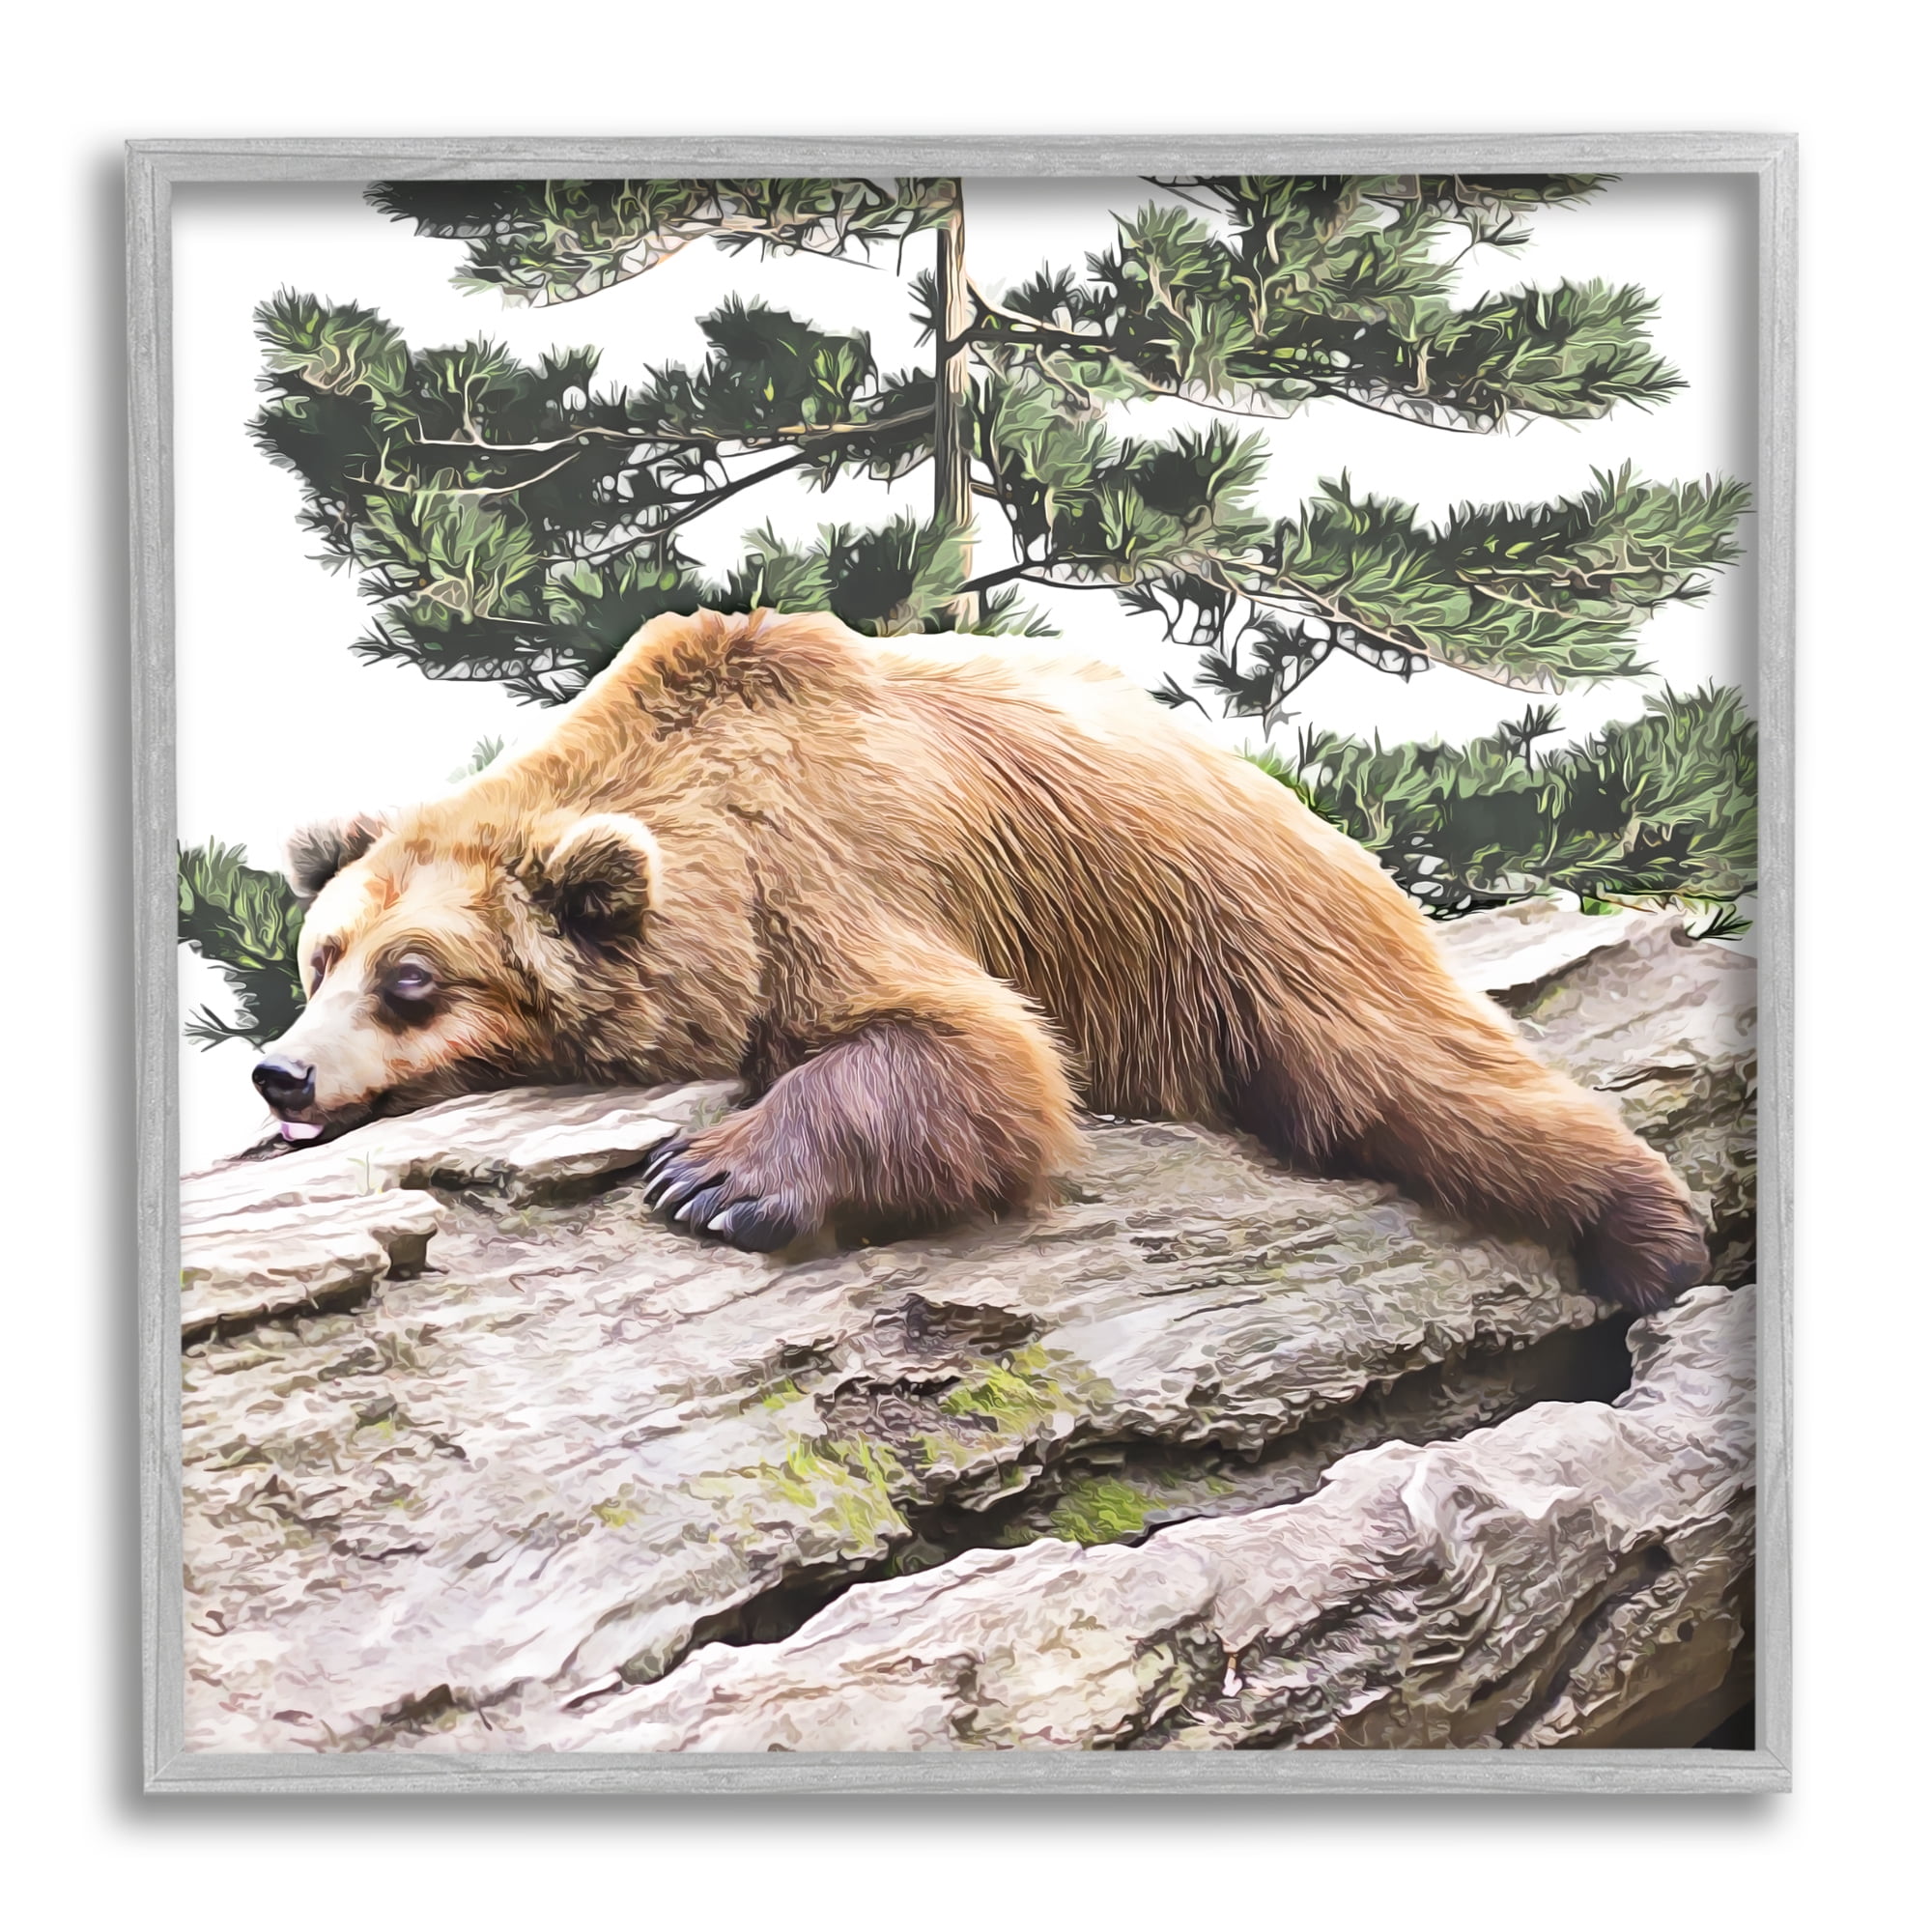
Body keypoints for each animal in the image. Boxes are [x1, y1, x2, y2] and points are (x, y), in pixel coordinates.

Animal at [253, 607, 1708, 1311]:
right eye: (322, 955)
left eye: (414, 978)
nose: (282, 1073)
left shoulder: (835, 865)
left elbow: (974, 1051)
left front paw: (712, 1179)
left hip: (1240, 918)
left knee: (1411, 1076)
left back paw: (1653, 1232)